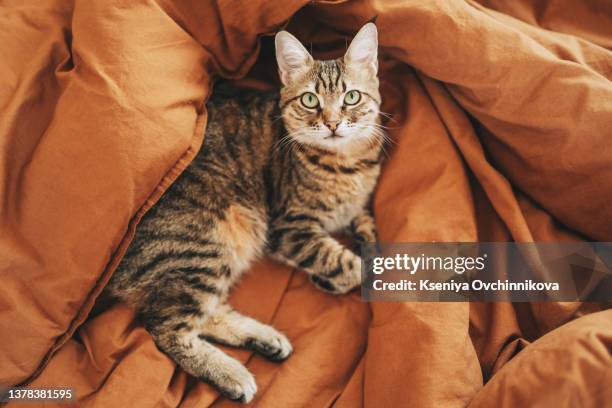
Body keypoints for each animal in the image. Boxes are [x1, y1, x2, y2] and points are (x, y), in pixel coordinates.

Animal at [106, 23, 382, 404]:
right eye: (310, 100)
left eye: (352, 97)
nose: (332, 123)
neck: (348, 163)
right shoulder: (290, 228)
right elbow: (352, 265)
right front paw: (342, 276)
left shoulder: (358, 210)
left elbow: (368, 236)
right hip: (208, 242)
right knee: (165, 327)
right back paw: (233, 374)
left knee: (204, 314)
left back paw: (266, 340)